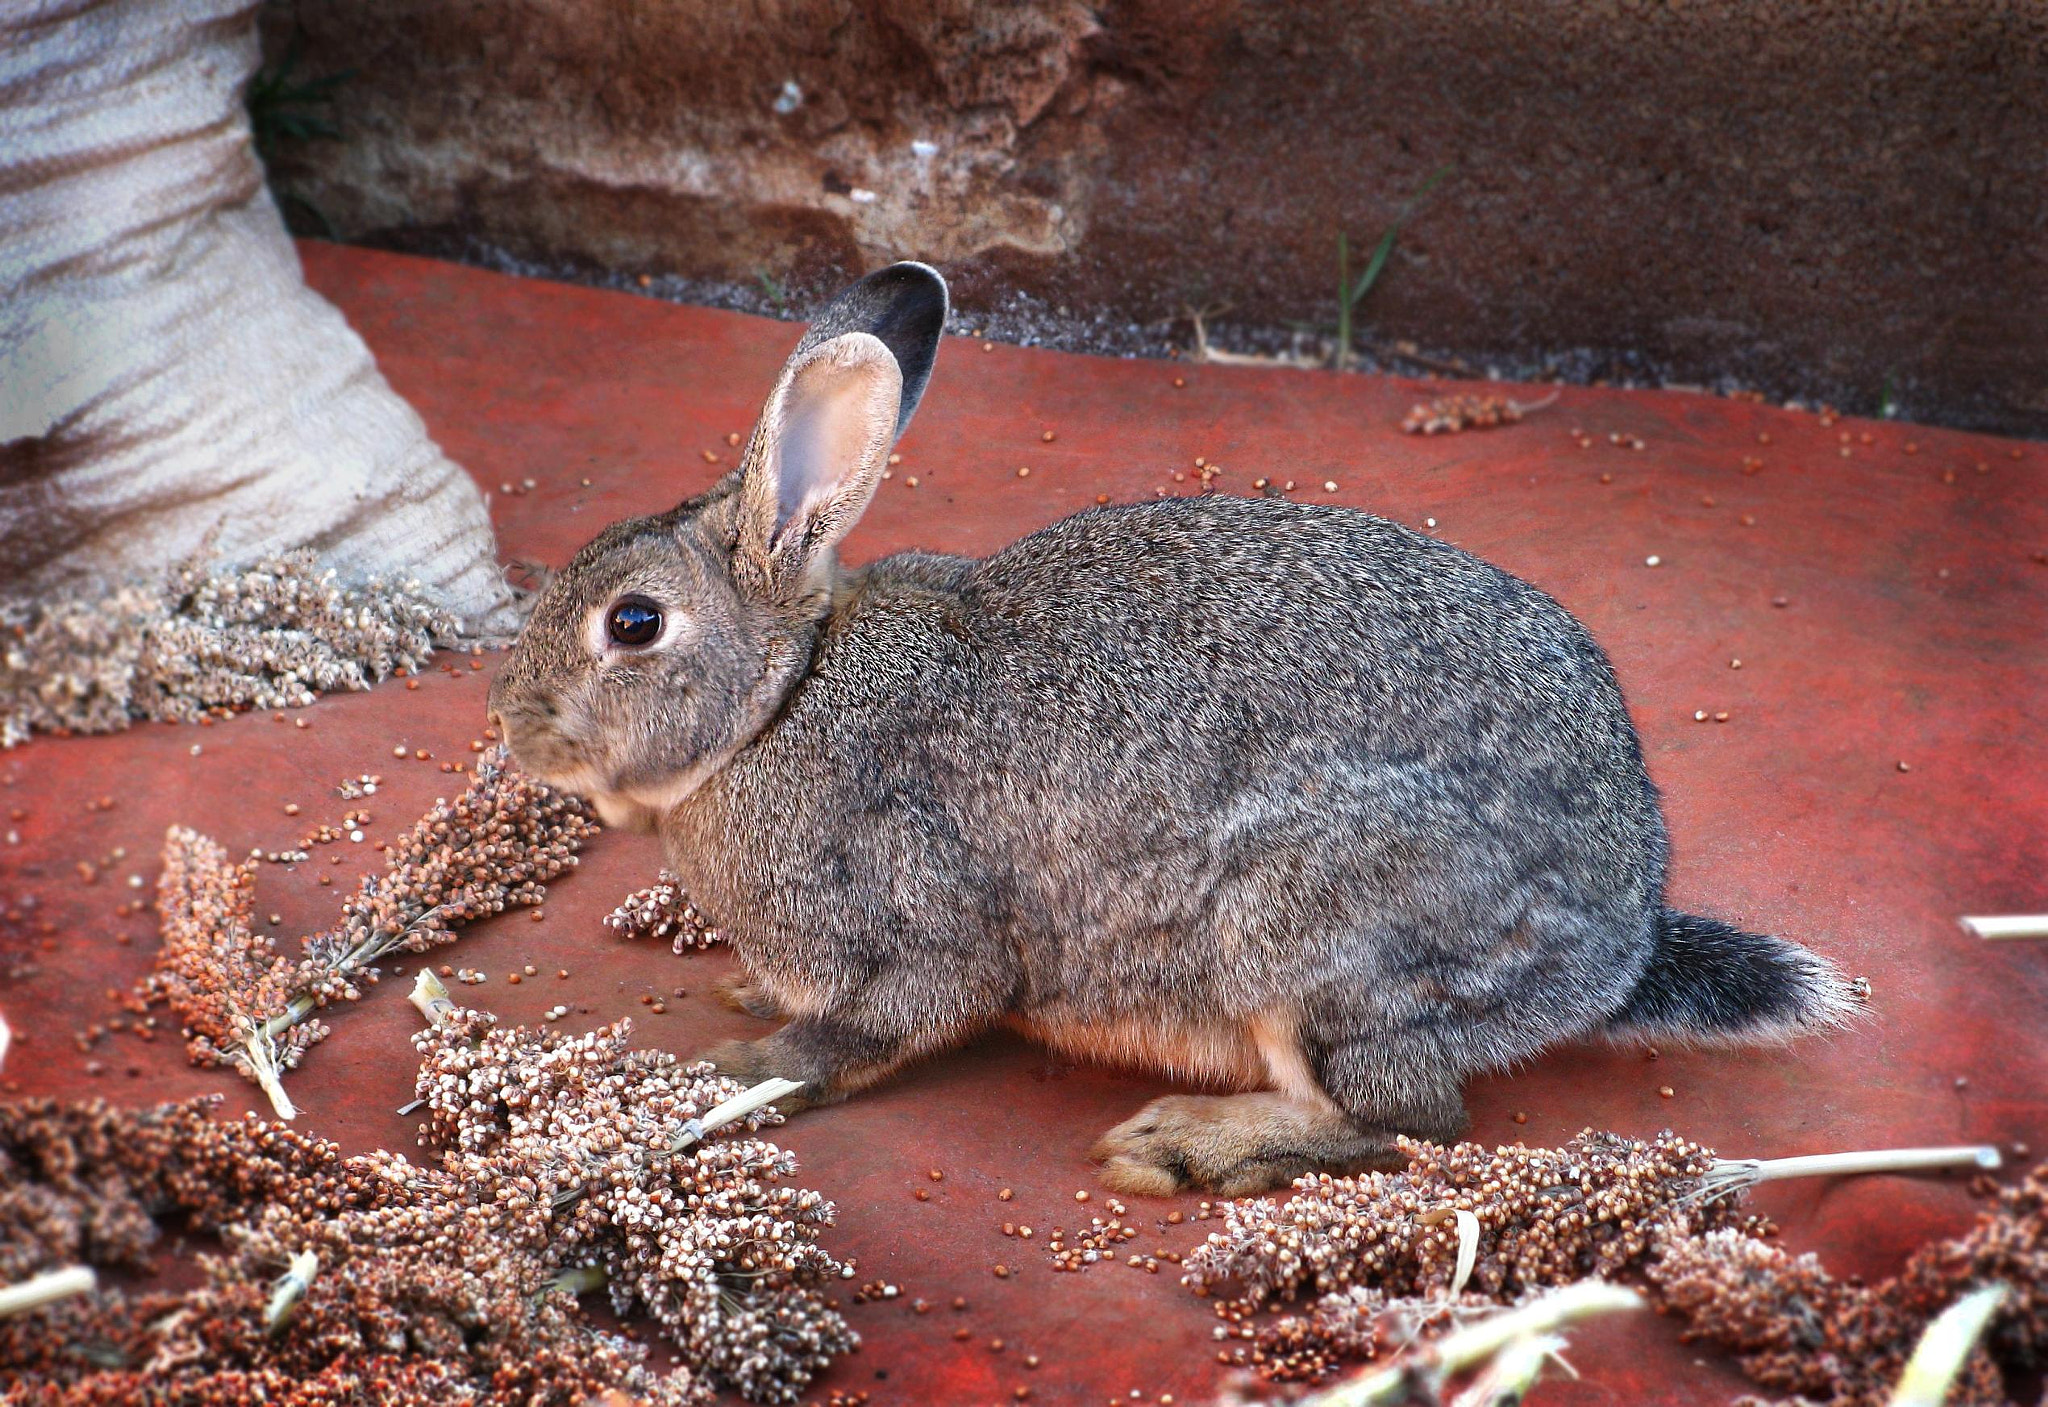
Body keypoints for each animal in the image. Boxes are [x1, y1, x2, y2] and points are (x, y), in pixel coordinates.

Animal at [491, 261, 1859, 1187]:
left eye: (631, 624)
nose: (512, 726)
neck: (780, 699)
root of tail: (1614, 947)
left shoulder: (915, 926)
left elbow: (878, 1025)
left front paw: (730, 1074)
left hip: (1306, 942)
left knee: (1408, 1121)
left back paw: (1190, 1146)